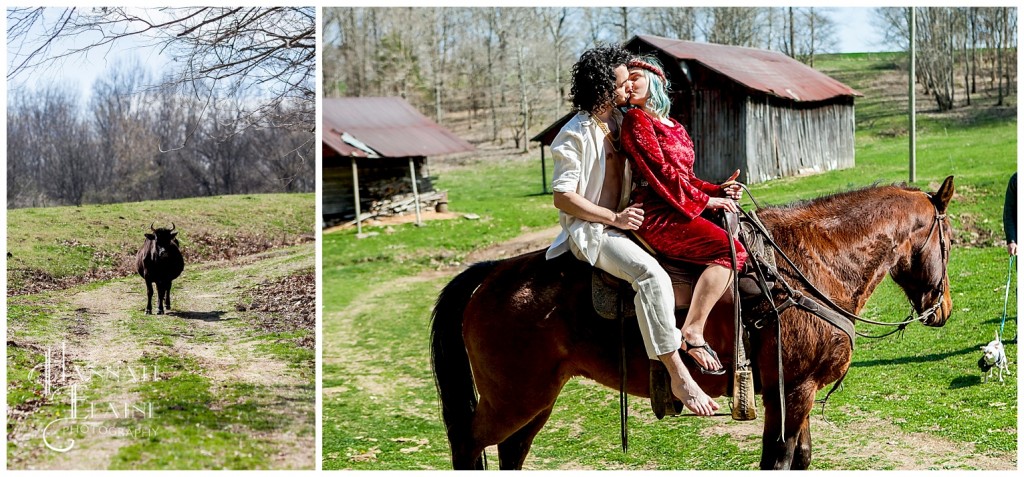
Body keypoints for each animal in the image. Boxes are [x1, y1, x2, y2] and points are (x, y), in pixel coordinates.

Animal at [430, 177, 950, 470]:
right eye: (948, 241)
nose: (941, 310)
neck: (812, 264)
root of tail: (493, 274)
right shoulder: (795, 390)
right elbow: (779, 460)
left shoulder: (792, 392)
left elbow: (799, 457)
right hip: (514, 399)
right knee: (469, 444)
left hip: (535, 401)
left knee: (511, 451)